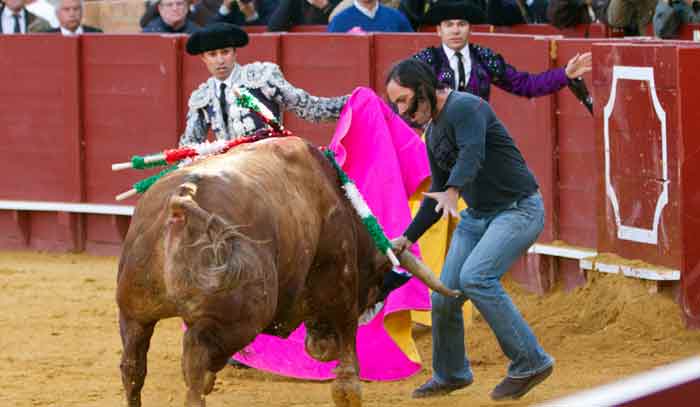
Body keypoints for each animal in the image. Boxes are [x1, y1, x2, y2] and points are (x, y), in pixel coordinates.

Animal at [116, 138, 460, 407]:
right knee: (195, 360)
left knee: (134, 369)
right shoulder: (341, 294)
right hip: (243, 319)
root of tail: (181, 203)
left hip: (134, 313)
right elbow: (348, 377)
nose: (321, 347)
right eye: (377, 287)